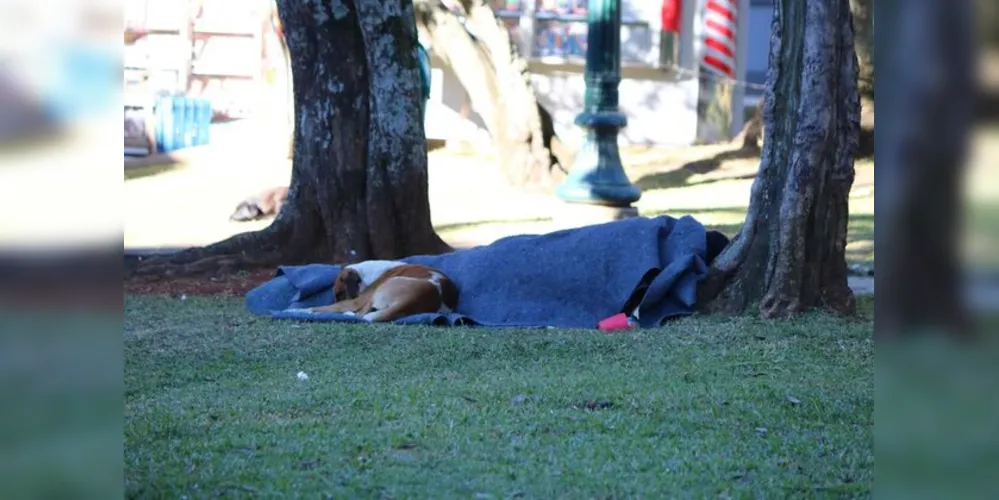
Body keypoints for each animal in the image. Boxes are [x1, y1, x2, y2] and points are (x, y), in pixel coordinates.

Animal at [304, 260, 460, 322]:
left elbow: (325, 307)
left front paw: (304, 310)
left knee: (360, 314)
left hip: (380, 289)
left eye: (339, 293)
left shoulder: (356, 301)